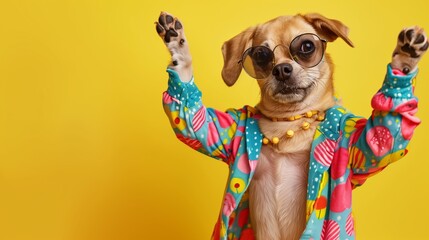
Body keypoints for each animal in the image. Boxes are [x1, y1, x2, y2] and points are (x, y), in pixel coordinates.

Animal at [155, 11, 426, 240]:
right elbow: (191, 119)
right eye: (261, 55)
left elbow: (381, 138)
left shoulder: (362, 147)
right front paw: (177, 44)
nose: (282, 69)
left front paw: (405, 57)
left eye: (306, 47)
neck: (290, 122)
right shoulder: (217, 133)